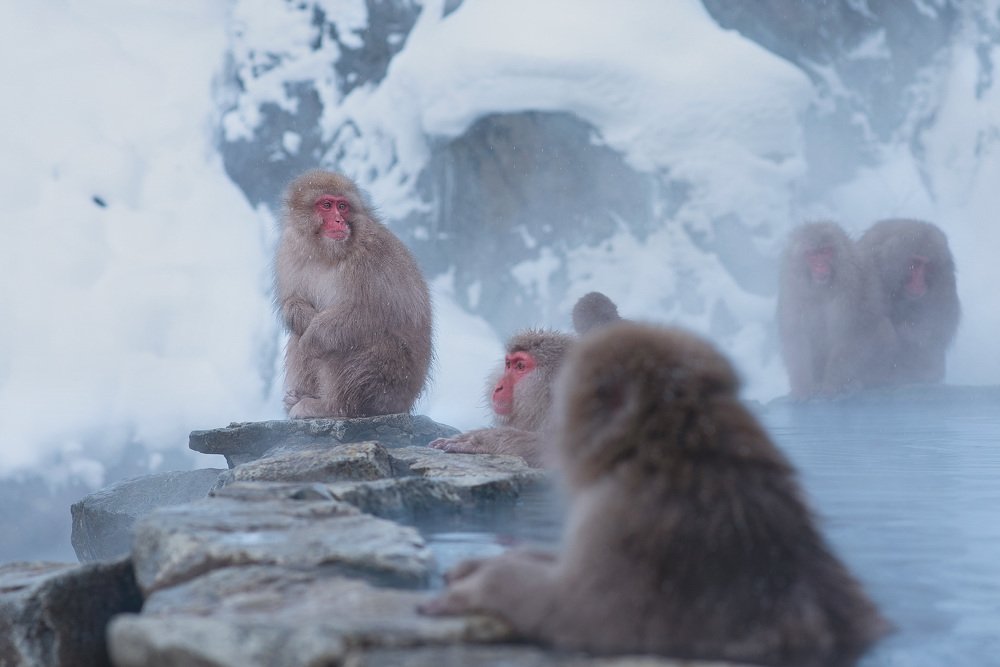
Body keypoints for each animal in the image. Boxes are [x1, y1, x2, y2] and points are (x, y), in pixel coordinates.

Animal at [275, 170, 432, 418]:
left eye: (343, 206)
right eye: (327, 205)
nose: (339, 220)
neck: (326, 254)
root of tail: (405, 405)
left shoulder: (370, 258)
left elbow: (371, 313)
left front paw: (312, 337)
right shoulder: (289, 250)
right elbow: (292, 301)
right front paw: (300, 316)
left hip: (389, 383)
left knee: (348, 341)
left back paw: (328, 406)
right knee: (298, 337)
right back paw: (299, 397)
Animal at [777, 221, 896, 398]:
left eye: (826, 251)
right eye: (812, 255)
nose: (820, 266)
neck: (821, 289)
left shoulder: (852, 286)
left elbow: (851, 332)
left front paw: (831, 384)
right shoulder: (792, 288)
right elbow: (795, 334)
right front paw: (803, 388)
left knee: (882, 328)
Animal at [855, 218, 960, 385]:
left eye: (927, 266)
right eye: (914, 264)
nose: (919, 283)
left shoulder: (945, 282)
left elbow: (941, 326)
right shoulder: (868, 267)